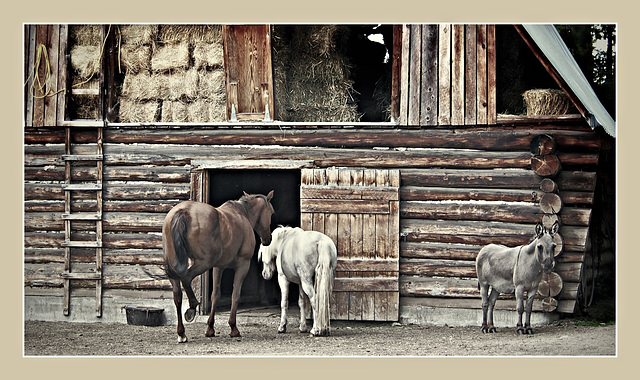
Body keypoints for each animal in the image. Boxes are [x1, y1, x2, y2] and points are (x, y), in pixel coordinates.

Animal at [161, 191, 274, 342]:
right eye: (271, 212)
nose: (268, 239)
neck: (242, 214)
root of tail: (184, 211)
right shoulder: (243, 266)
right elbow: (235, 295)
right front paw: (233, 328)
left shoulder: (218, 267)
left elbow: (215, 295)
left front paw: (210, 328)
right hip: (203, 263)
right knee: (186, 279)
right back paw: (192, 307)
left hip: (176, 265)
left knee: (177, 295)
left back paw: (182, 333)